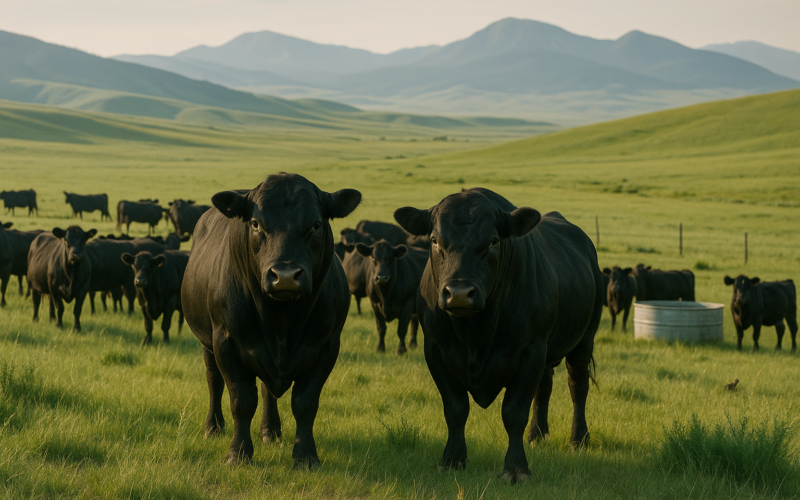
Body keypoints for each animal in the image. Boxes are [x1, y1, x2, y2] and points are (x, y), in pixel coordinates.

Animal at [182, 172, 360, 467]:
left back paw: (271, 430)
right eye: (256, 224)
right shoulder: (226, 342)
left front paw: (306, 456)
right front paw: (239, 453)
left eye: (316, 224)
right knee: (214, 381)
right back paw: (213, 427)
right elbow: (241, 400)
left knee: (268, 390)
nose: (285, 276)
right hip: (207, 343)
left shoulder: (327, 346)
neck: (282, 322)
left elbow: (305, 402)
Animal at [394, 188, 603, 484]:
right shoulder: (435, 350)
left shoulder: (531, 351)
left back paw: (579, 439)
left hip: (584, 340)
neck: (475, 334)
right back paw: (537, 434)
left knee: (578, 387)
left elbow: (514, 412)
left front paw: (516, 468)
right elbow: (455, 408)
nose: (459, 293)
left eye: (493, 241)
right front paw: (452, 459)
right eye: (434, 240)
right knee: (545, 387)